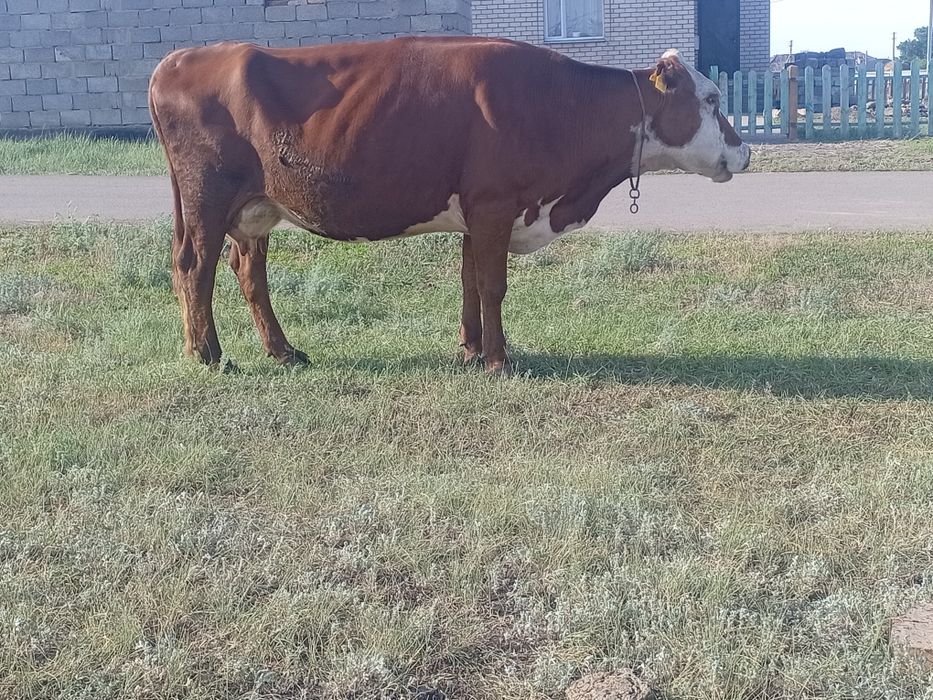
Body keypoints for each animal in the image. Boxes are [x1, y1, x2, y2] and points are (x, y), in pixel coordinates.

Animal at [148, 36, 750, 375]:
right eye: (712, 98)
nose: (745, 150)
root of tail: (179, 58)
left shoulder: (476, 215)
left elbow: (470, 282)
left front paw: (470, 351)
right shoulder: (495, 205)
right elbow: (493, 285)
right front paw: (499, 361)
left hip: (255, 209)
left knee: (248, 270)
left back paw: (283, 351)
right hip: (207, 198)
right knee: (195, 266)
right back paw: (208, 355)